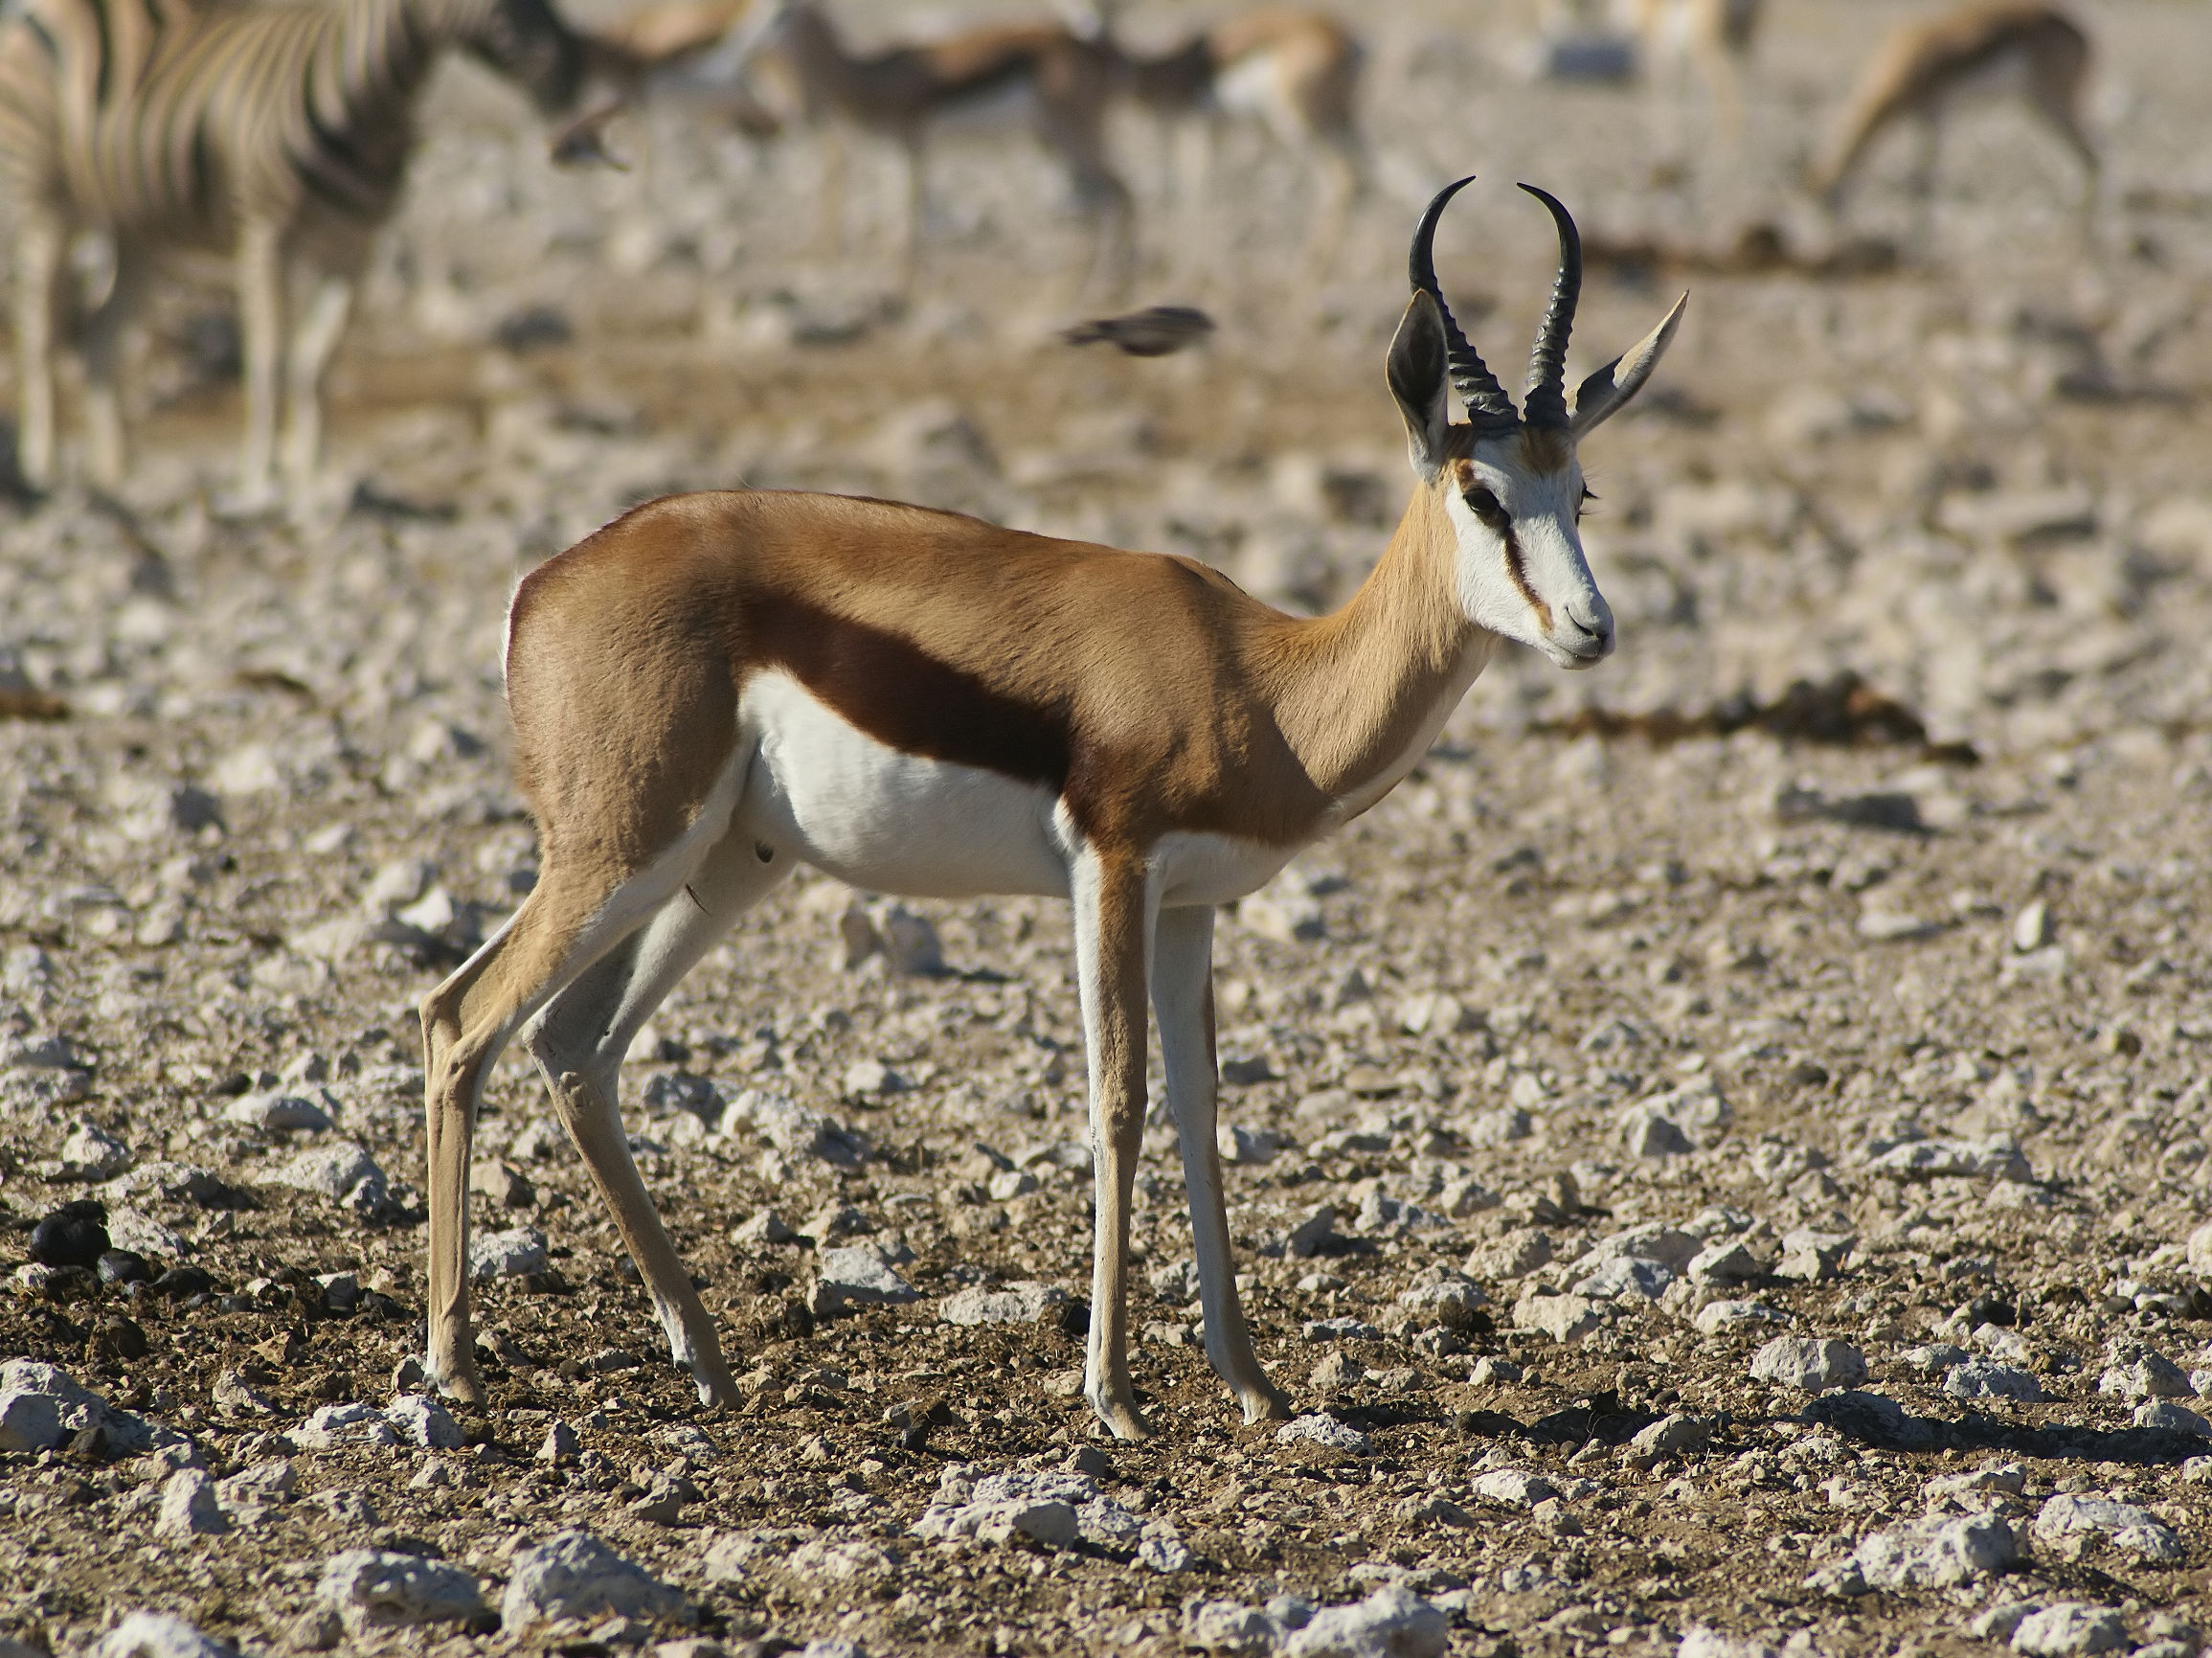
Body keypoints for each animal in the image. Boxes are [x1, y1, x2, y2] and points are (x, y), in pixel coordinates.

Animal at [0, 0, 588, 507]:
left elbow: (316, 362)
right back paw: (43, 466)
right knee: (41, 336)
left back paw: (117, 471)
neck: (371, 104)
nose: (574, 66)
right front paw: (260, 475)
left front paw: (313, 471)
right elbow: (269, 360)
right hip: (49, 196)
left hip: (138, 226)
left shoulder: (356, 250)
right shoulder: (267, 238)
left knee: (101, 337)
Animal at [1804, 0, 2096, 232]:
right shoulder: (1922, 119)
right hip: (2035, 105)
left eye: (1829, 199)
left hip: (2053, 104)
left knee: (2091, 156)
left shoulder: (1937, 113)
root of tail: (2082, 34)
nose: (1829, 240)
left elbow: (1925, 184)